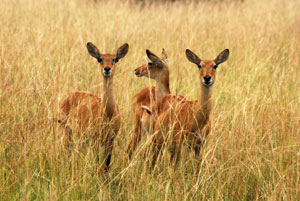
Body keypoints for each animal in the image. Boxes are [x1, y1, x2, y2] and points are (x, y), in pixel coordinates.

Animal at [59, 42, 129, 173]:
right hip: (68, 131)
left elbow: (107, 164)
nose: (107, 69)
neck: (108, 113)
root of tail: (69, 96)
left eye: (114, 59)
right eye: (100, 59)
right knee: (68, 152)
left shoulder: (110, 140)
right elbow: (98, 161)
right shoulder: (96, 140)